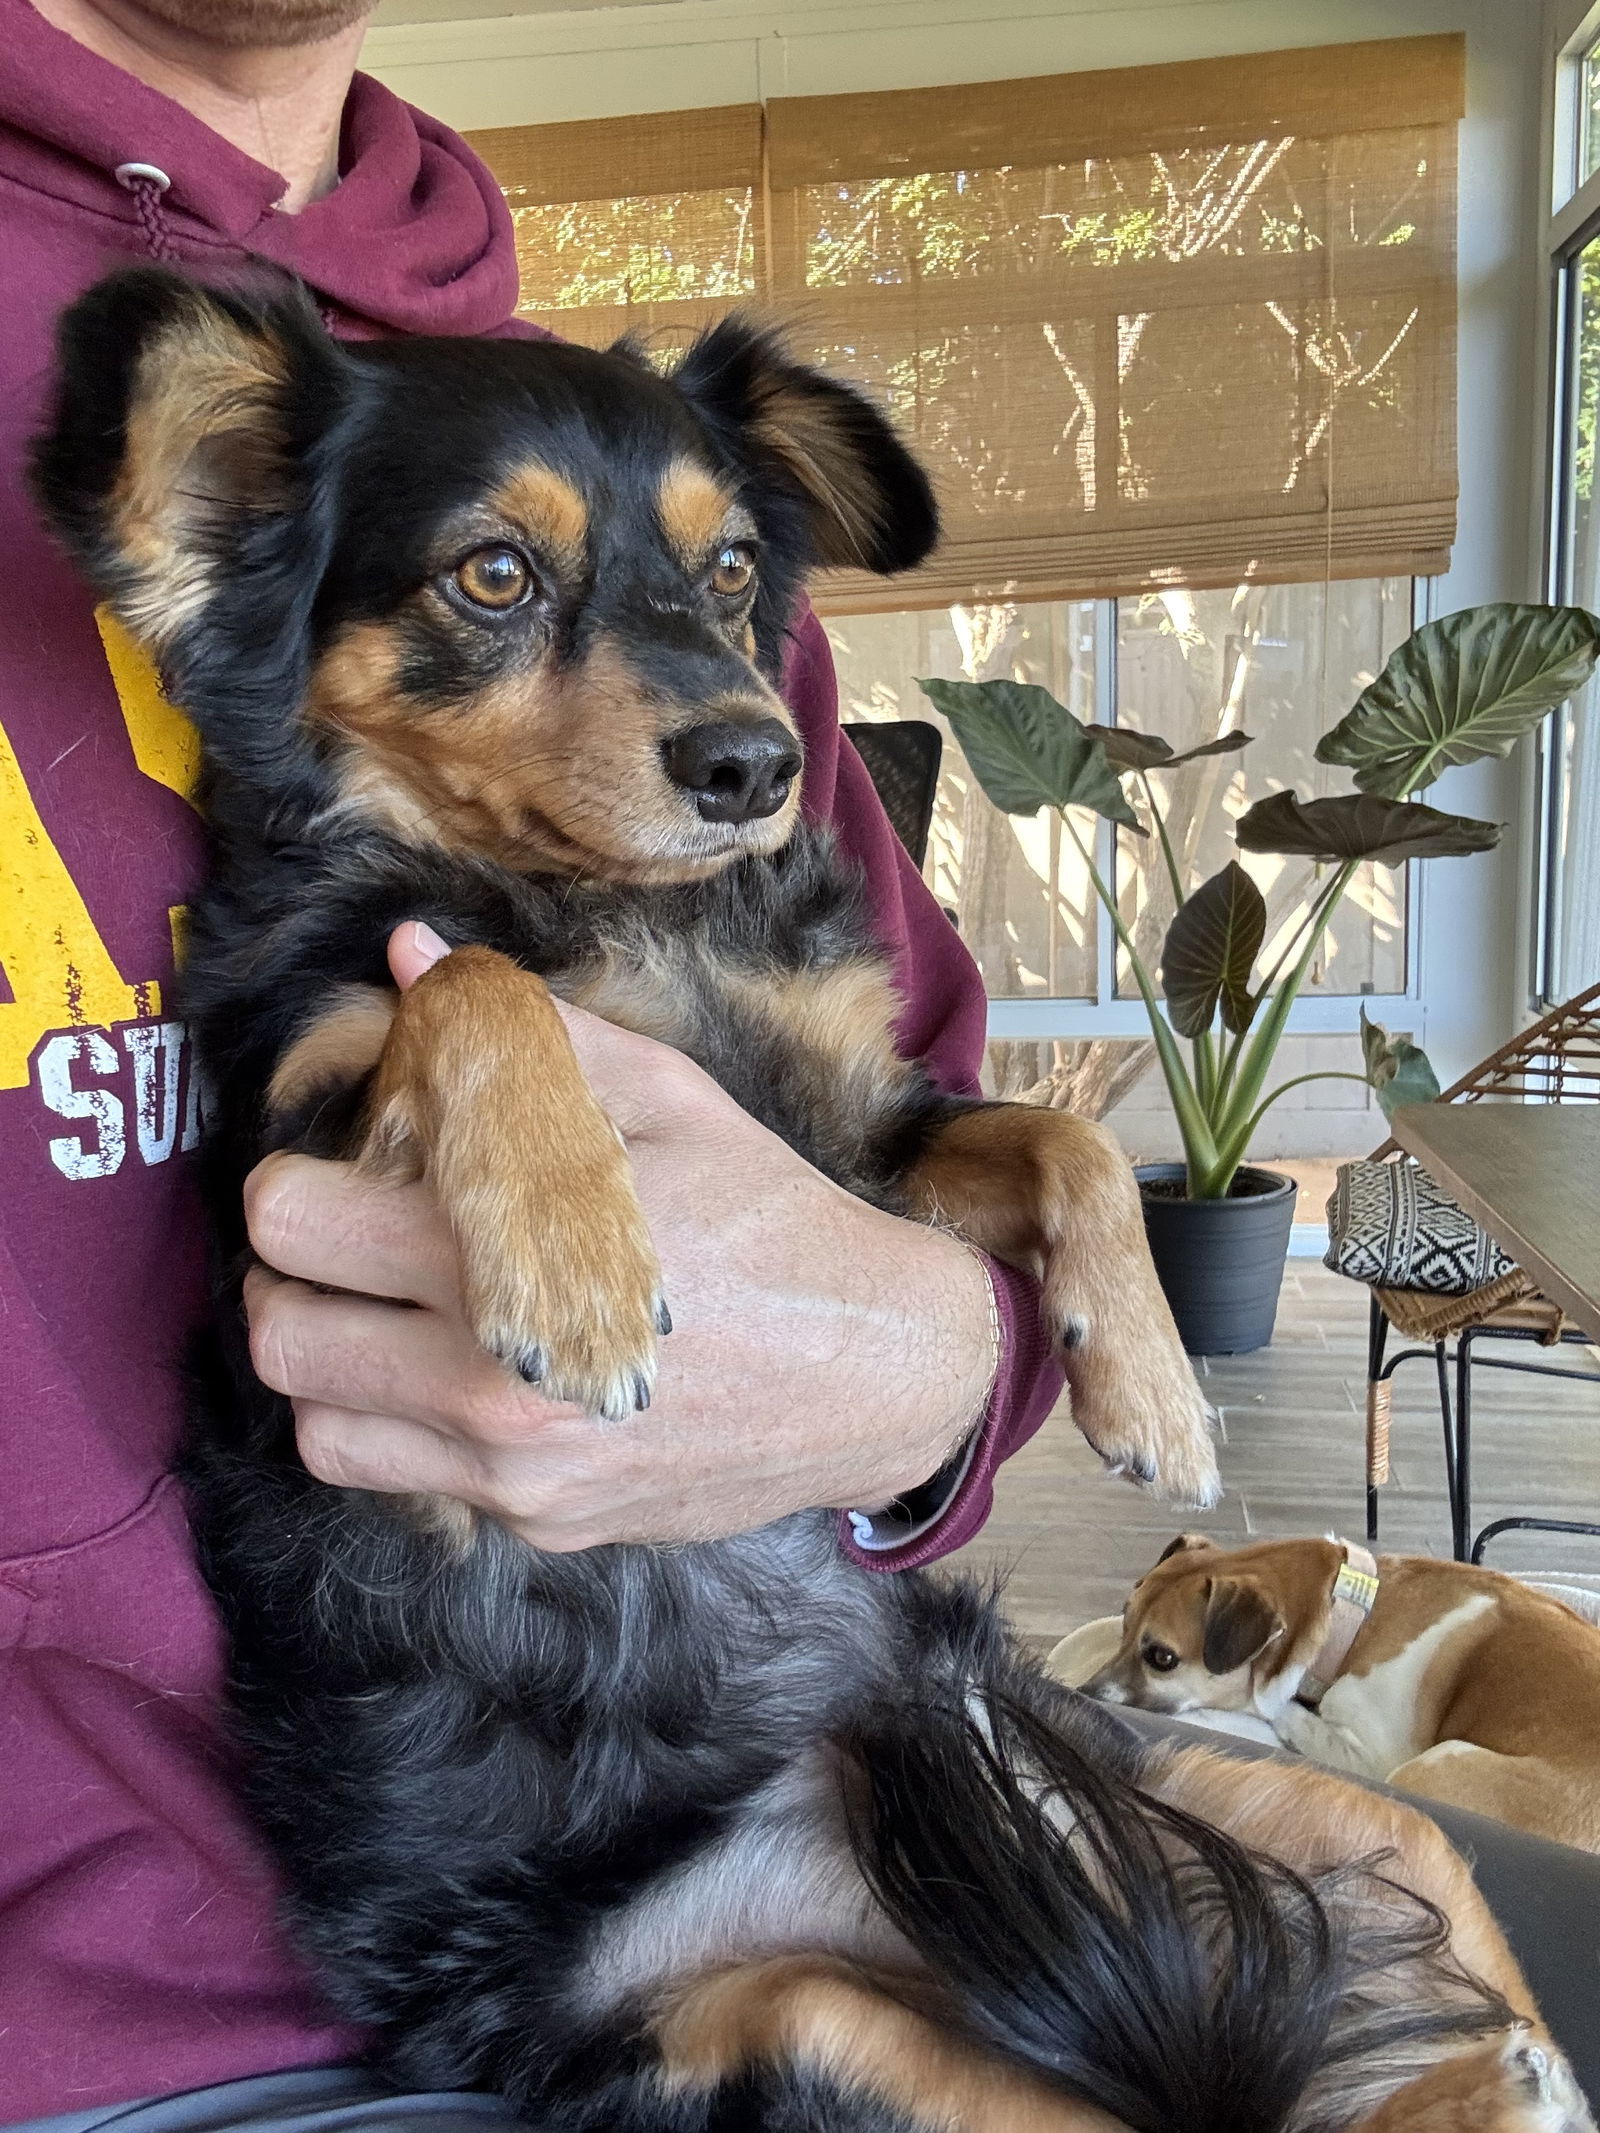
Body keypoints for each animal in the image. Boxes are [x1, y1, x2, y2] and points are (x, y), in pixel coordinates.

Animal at [1083, 1535, 1600, 1851]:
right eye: (1123, 1624)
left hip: (1432, 1765)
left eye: (1162, 1658)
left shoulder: (1370, 1755)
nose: (1083, 1692)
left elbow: (1281, 1708)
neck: (1354, 1619)